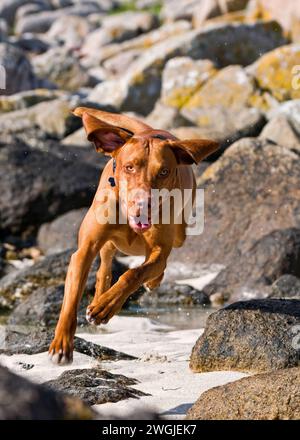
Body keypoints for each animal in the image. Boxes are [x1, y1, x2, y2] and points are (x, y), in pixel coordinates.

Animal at [49, 107, 218, 364]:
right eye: (129, 167)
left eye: (164, 171)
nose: (143, 203)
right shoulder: (84, 249)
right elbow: (71, 297)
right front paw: (61, 344)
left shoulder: (158, 252)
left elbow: (134, 273)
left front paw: (107, 306)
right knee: (106, 260)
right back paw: (99, 295)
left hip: (180, 233)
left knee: (159, 261)